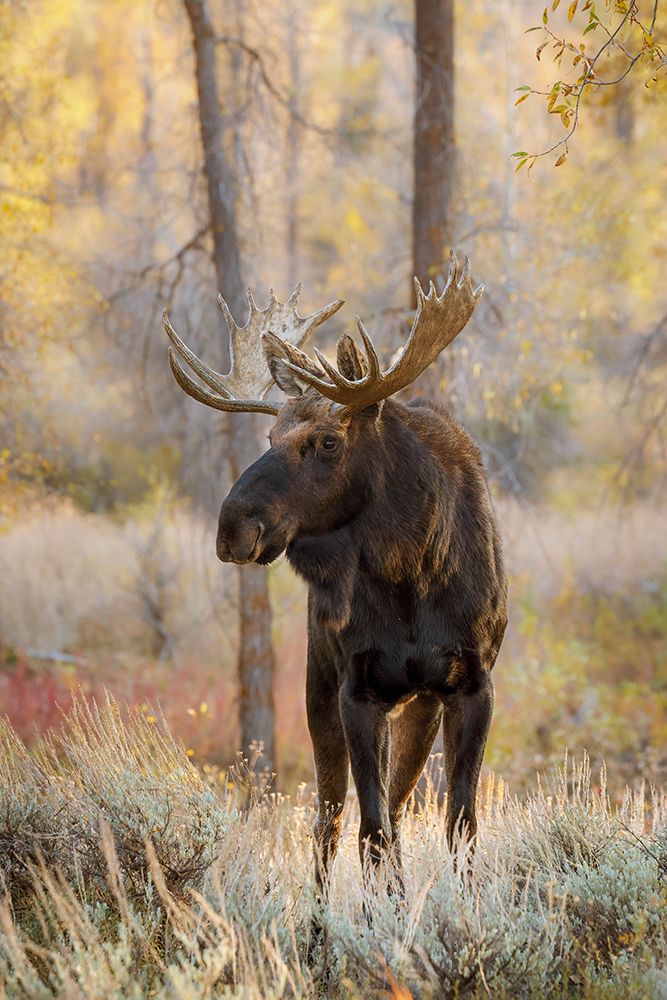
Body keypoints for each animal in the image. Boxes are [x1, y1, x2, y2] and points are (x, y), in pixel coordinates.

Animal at [164, 252, 508, 892]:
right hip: (317, 684)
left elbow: (460, 825)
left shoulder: (472, 683)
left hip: (419, 705)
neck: (411, 574)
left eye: (327, 441)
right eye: (269, 434)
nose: (232, 527)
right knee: (329, 824)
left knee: (398, 805)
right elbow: (369, 831)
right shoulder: (356, 687)